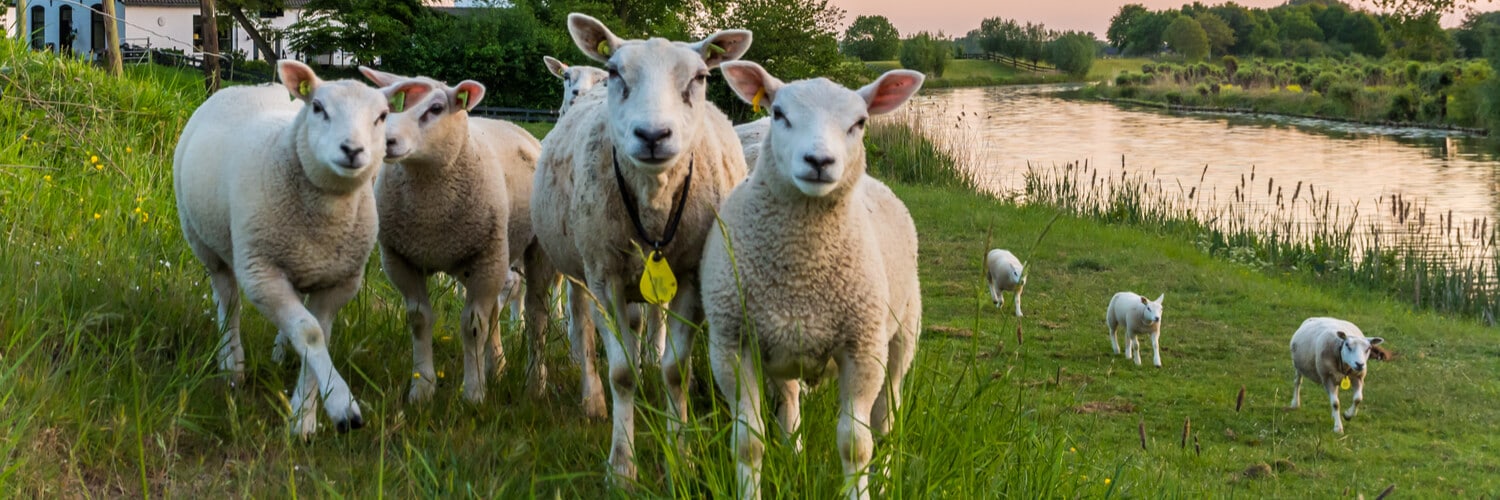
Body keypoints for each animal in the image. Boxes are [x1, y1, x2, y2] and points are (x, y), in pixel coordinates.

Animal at [178, 60, 435, 435]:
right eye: (318, 108)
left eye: (383, 116)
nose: (352, 150)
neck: (324, 219)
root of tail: (248, 87)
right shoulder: (262, 272)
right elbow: (310, 334)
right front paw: (341, 407)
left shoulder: (339, 280)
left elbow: (317, 336)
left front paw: (304, 417)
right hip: (205, 242)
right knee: (228, 301)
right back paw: (232, 364)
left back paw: (277, 352)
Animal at [358, 66, 564, 402]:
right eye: (391, 107)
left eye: (436, 108)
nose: (387, 142)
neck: (430, 216)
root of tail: (515, 127)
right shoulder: (400, 259)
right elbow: (420, 320)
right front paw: (422, 389)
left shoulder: (485, 258)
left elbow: (473, 326)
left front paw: (473, 393)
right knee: (495, 311)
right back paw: (497, 366)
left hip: (529, 251)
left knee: (536, 316)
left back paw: (535, 383)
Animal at [534, 12, 756, 480]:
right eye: (616, 72)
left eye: (700, 77)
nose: (653, 134)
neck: (653, 201)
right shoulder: (604, 277)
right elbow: (620, 374)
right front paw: (621, 466)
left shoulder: (689, 277)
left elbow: (675, 370)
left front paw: (681, 456)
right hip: (579, 265)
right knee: (582, 326)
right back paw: (592, 398)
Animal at [702, 61, 924, 498]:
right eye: (778, 114)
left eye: (859, 122)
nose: (819, 160)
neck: (802, 274)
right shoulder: (731, 344)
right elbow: (749, 441)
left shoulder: (862, 347)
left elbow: (856, 444)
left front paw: (861, 491)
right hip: (782, 343)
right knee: (790, 405)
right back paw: (794, 457)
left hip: (902, 335)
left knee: (887, 421)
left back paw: (886, 479)